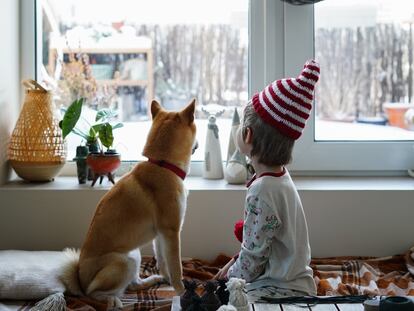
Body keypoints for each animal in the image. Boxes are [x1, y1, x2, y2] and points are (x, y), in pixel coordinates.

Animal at [60, 98, 198, 308]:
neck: (163, 164)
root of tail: (80, 280)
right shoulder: (172, 232)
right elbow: (176, 268)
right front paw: (182, 292)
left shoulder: (161, 235)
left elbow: (163, 262)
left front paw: (166, 279)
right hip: (124, 261)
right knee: (94, 294)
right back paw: (112, 300)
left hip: (134, 254)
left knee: (133, 285)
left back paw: (152, 280)